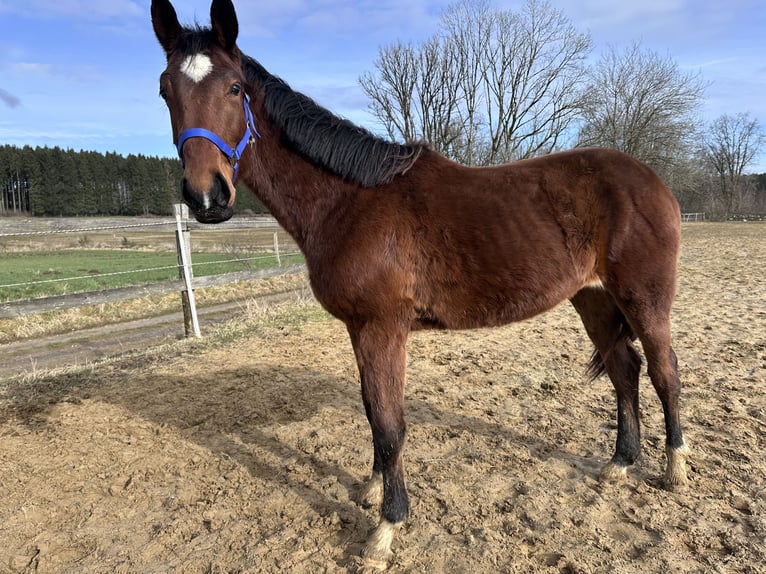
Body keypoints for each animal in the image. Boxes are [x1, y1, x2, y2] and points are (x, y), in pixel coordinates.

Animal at [151, 0, 689, 569]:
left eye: (234, 88)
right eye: (166, 89)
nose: (206, 197)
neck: (350, 201)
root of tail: (653, 182)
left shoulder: (382, 326)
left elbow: (390, 425)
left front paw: (385, 530)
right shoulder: (360, 329)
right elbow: (372, 412)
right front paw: (370, 489)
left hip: (643, 298)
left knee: (664, 371)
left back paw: (674, 467)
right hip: (593, 298)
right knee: (625, 370)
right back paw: (620, 463)